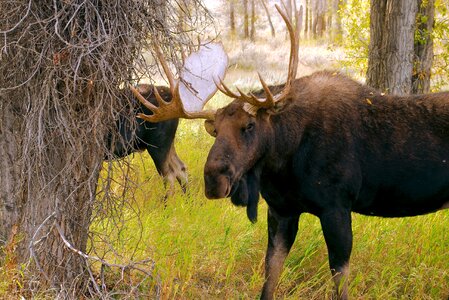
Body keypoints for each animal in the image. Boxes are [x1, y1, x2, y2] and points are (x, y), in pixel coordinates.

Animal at [131, 4, 448, 300]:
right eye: (215, 130)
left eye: (249, 125)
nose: (213, 179)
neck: (284, 162)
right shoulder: (281, 210)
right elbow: (270, 275)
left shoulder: (337, 207)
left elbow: (339, 279)